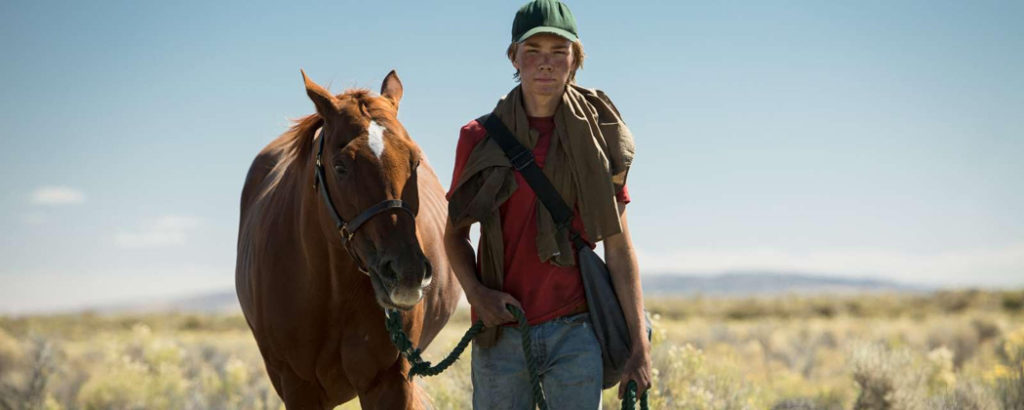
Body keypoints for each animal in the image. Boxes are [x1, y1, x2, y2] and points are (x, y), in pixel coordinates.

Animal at [235, 70, 460, 409]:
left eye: (415, 161)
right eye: (340, 166)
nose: (407, 273)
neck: (330, 292)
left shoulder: (389, 382)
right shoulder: (299, 386)